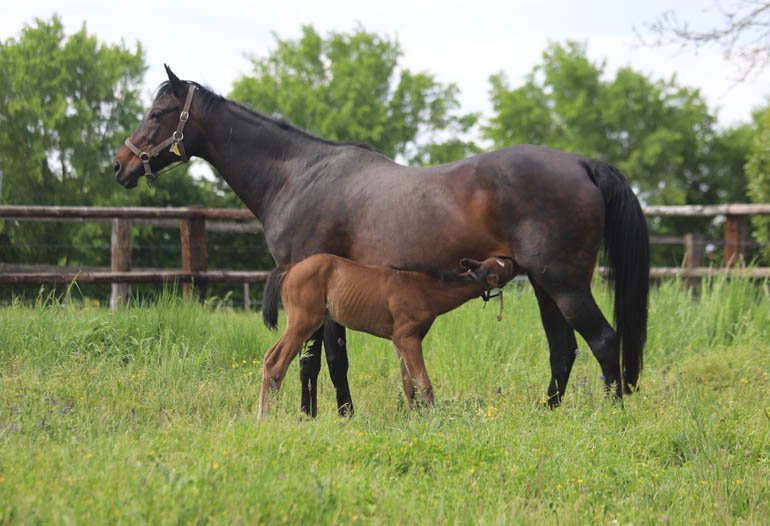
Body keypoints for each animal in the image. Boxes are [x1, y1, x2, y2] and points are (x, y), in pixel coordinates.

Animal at [257, 254, 517, 418]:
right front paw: (435, 420)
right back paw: (266, 417)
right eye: (503, 267)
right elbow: (424, 383)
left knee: (269, 356)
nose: (514, 259)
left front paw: (414, 420)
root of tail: (291, 268)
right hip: (303, 323)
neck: (427, 290)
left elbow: (409, 384)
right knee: (276, 363)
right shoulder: (407, 338)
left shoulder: (400, 341)